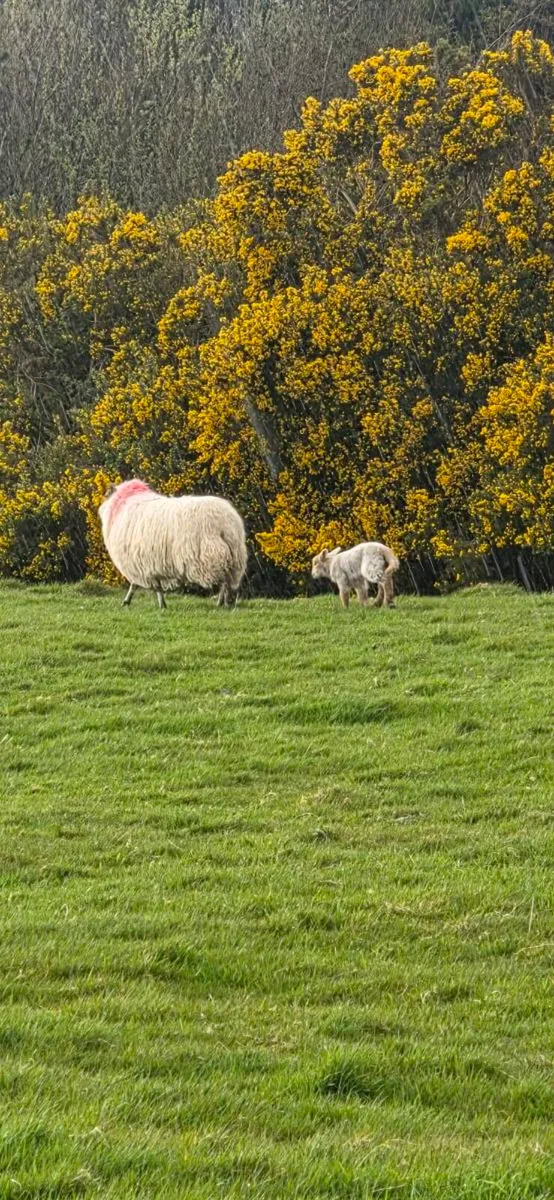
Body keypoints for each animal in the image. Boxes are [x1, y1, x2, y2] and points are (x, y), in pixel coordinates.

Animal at [98, 479, 247, 609]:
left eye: (106, 494)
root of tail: (226, 523)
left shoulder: (140, 562)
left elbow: (142, 585)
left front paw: (154, 604)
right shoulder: (147, 563)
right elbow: (144, 585)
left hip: (213, 555)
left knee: (224, 581)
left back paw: (222, 603)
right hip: (235, 555)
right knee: (228, 580)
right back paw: (225, 602)